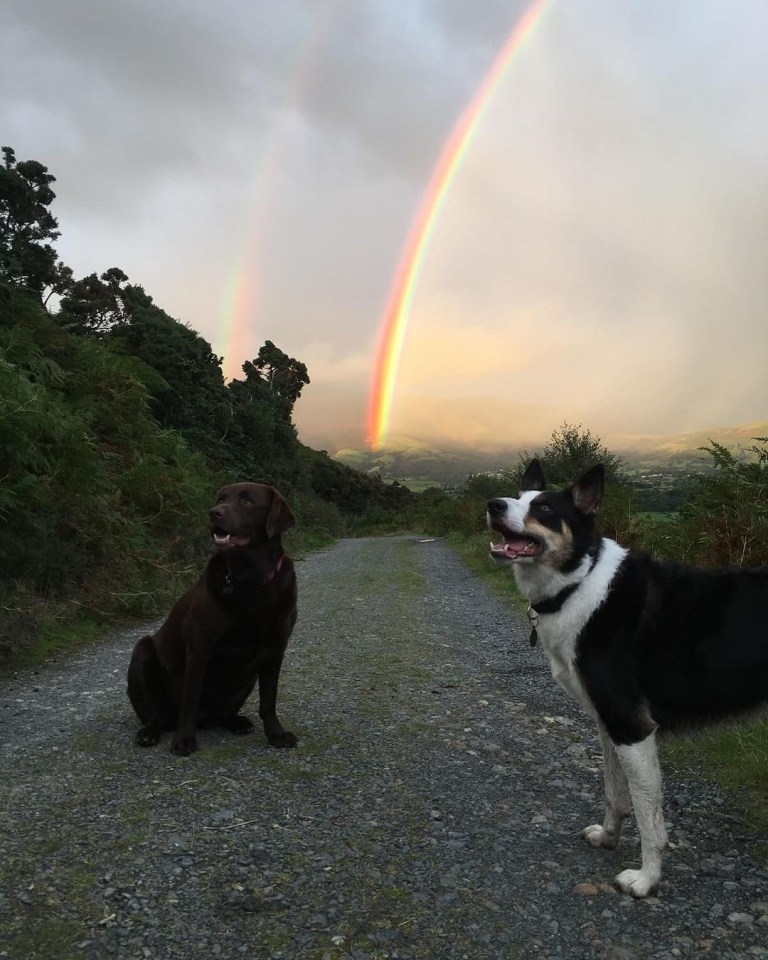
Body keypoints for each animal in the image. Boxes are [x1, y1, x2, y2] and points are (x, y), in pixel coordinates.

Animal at [488, 462, 768, 896]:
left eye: (545, 508)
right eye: (517, 497)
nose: (493, 505)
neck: (578, 583)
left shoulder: (632, 727)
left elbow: (648, 817)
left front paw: (646, 879)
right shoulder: (607, 724)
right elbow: (614, 794)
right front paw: (608, 838)